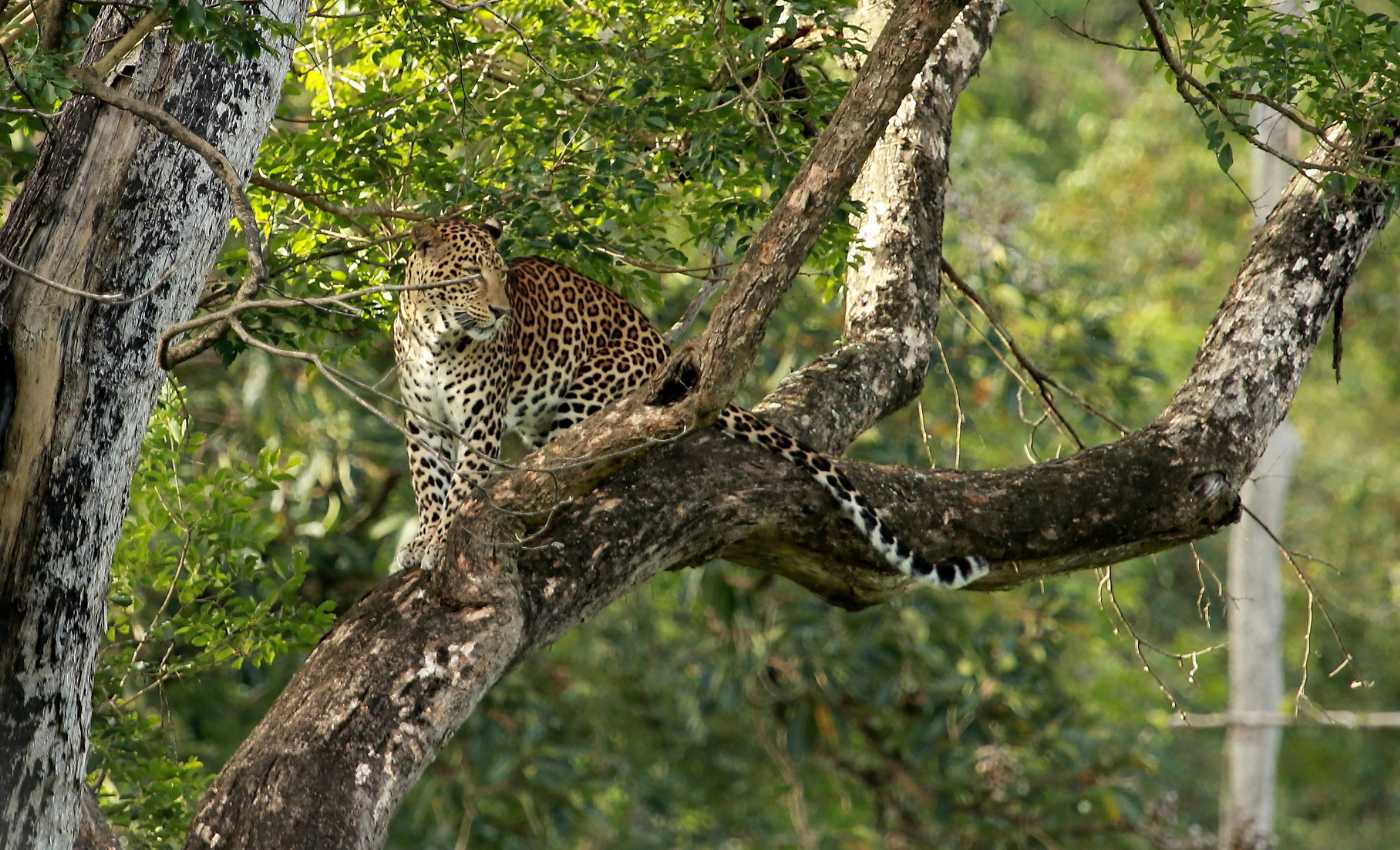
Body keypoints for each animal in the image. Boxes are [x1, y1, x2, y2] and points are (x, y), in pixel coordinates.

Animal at [389, 215, 991, 588]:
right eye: (472, 274)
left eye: (501, 275)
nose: (501, 312)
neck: (436, 334)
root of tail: (662, 343)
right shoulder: (423, 424)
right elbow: (429, 486)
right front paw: (421, 538)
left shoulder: (479, 422)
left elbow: (460, 489)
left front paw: (440, 540)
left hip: (590, 397)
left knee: (579, 467)